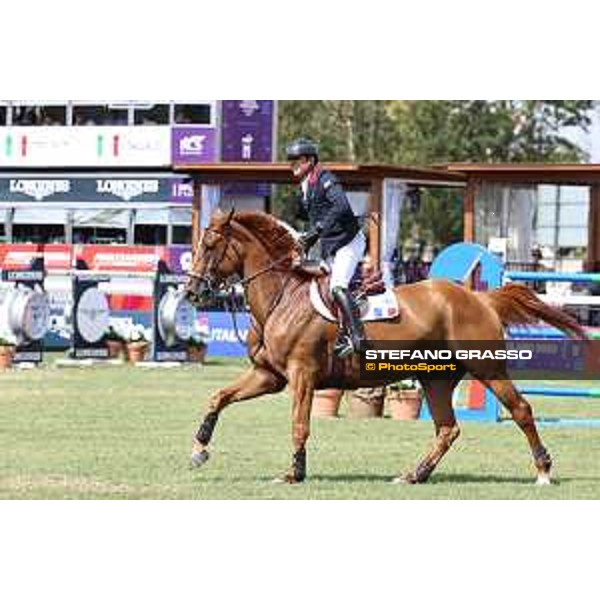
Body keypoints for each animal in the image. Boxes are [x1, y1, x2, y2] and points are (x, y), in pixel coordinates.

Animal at [184, 210, 584, 482]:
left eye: (211, 245)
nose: (191, 292)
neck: (282, 297)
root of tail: (479, 298)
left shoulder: (302, 375)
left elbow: (299, 424)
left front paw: (293, 474)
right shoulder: (269, 375)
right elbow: (218, 398)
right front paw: (198, 450)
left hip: (487, 368)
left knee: (521, 410)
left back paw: (543, 470)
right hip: (436, 378)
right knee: (447, 428)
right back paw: (414, 474)